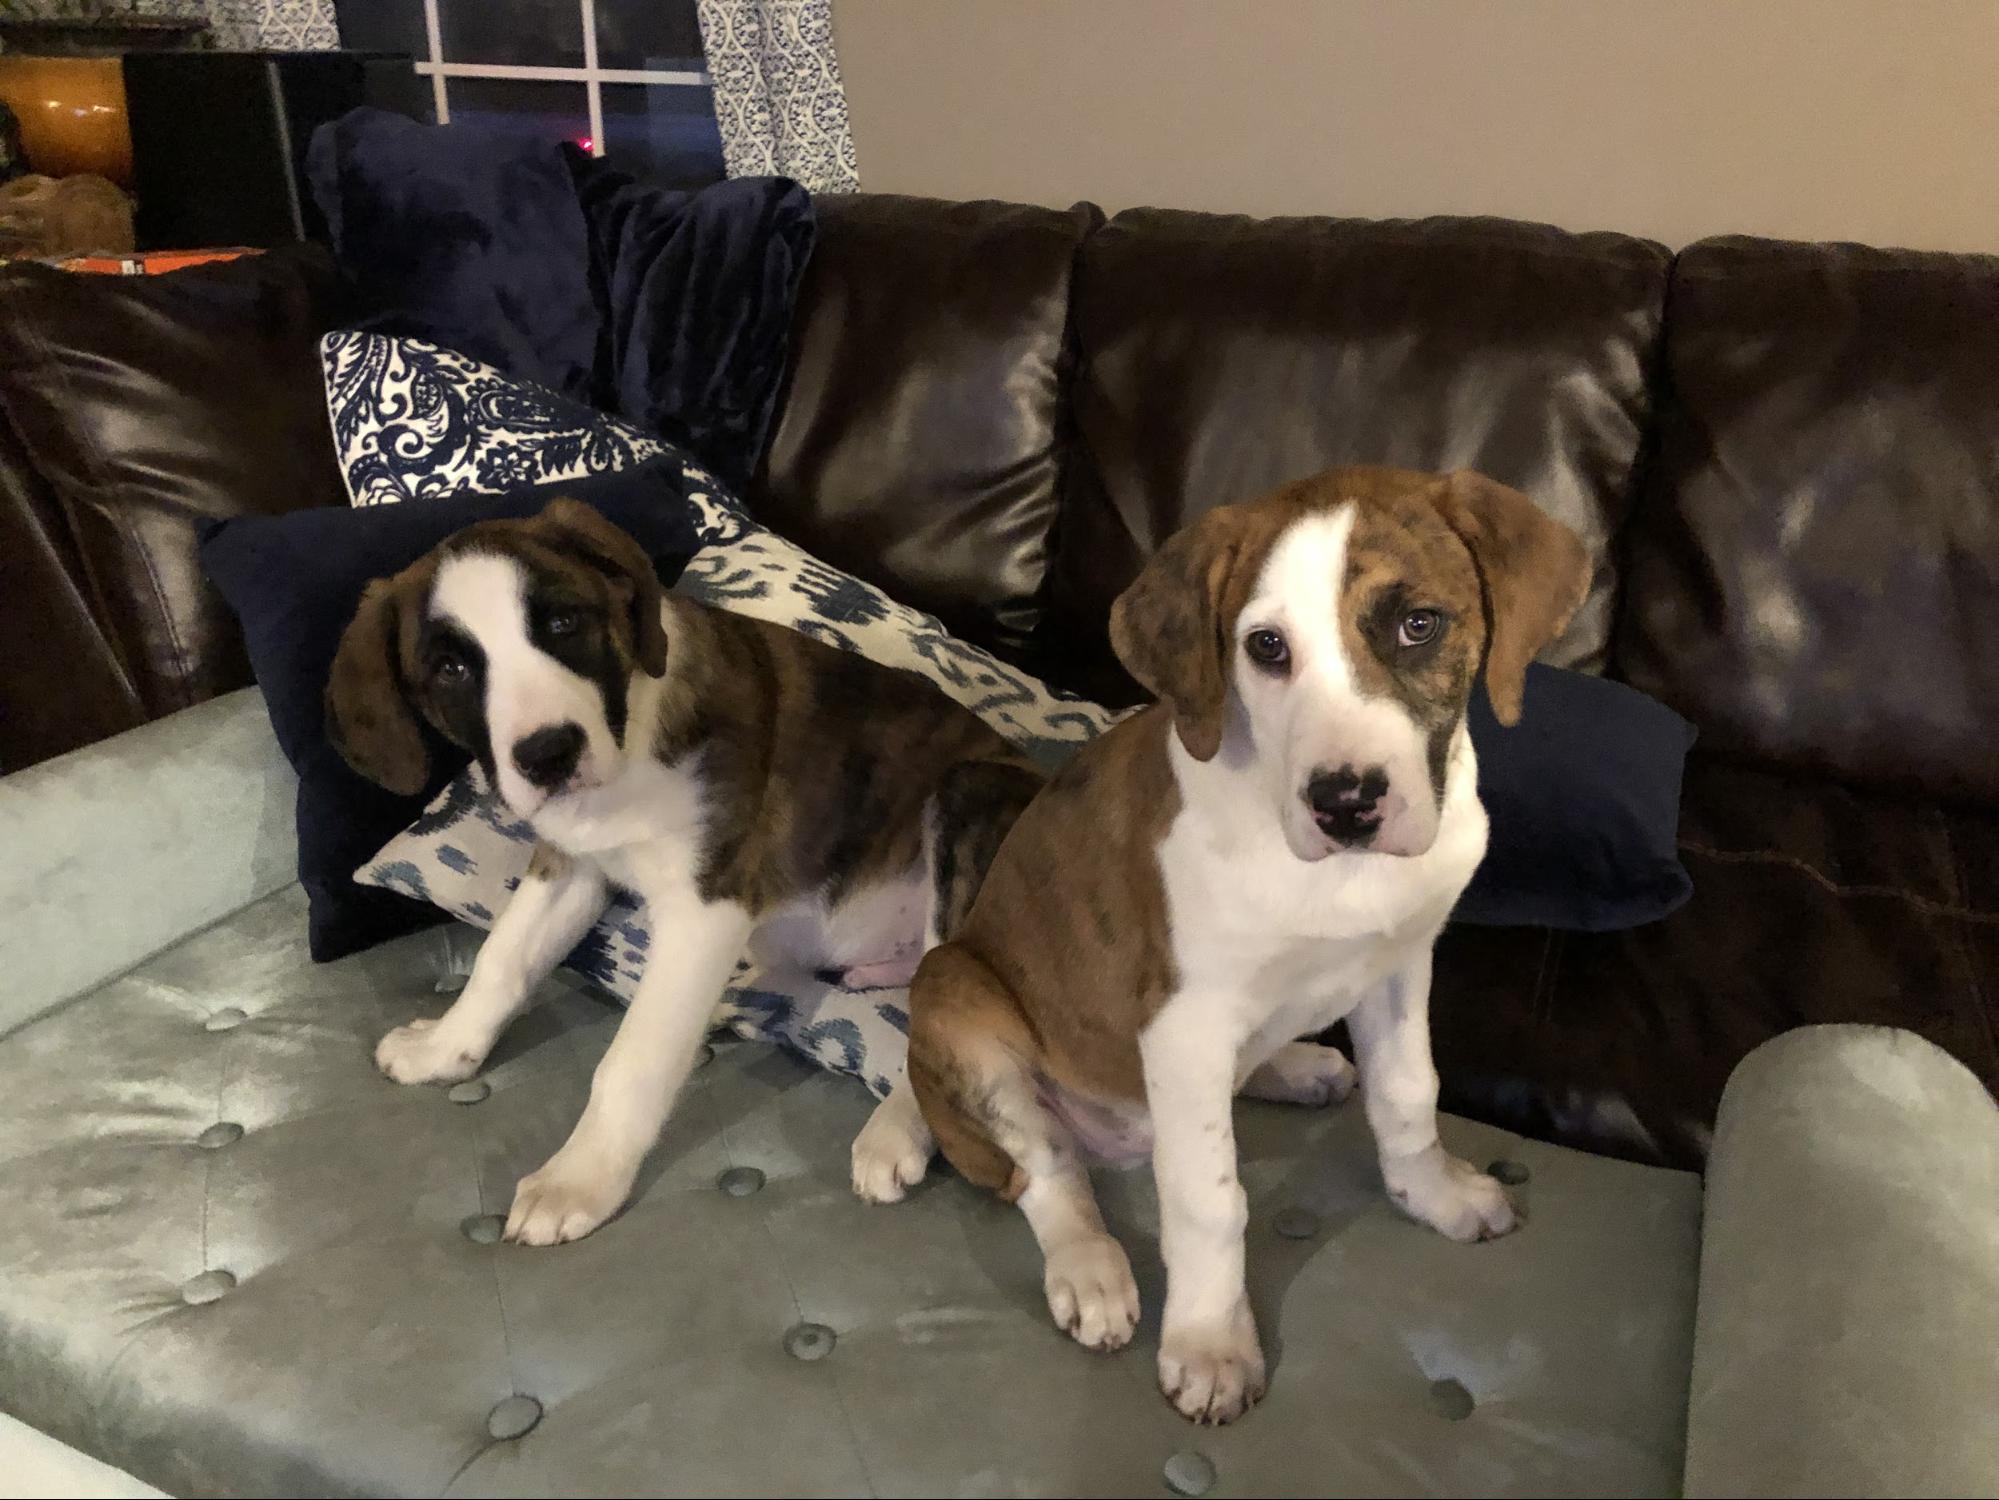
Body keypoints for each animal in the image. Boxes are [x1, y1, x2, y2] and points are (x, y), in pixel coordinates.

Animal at [323, 500, 1047, 1248]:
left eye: (563, 623)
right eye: (450, 668)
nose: (549, 754)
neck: (628, 746)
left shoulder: (707, 904)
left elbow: (633, 1058)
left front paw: (580, 1178)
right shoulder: (573, 864)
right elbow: (502, 958)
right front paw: (445, 1046)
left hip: (970, 798)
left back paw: (894, 1130)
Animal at [883, 476, 1599, 1424]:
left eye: (1419, 625)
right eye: (1265, 647)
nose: (1345, 802)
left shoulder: (1400, 965)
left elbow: (1409, 1093)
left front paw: (1431, 1194)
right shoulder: (1184, 1024)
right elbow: (1208, 1200)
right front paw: (1210, 1344)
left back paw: (1297, 1066)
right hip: (955, 994)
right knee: (1046, 1167)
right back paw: (1090, 1266)